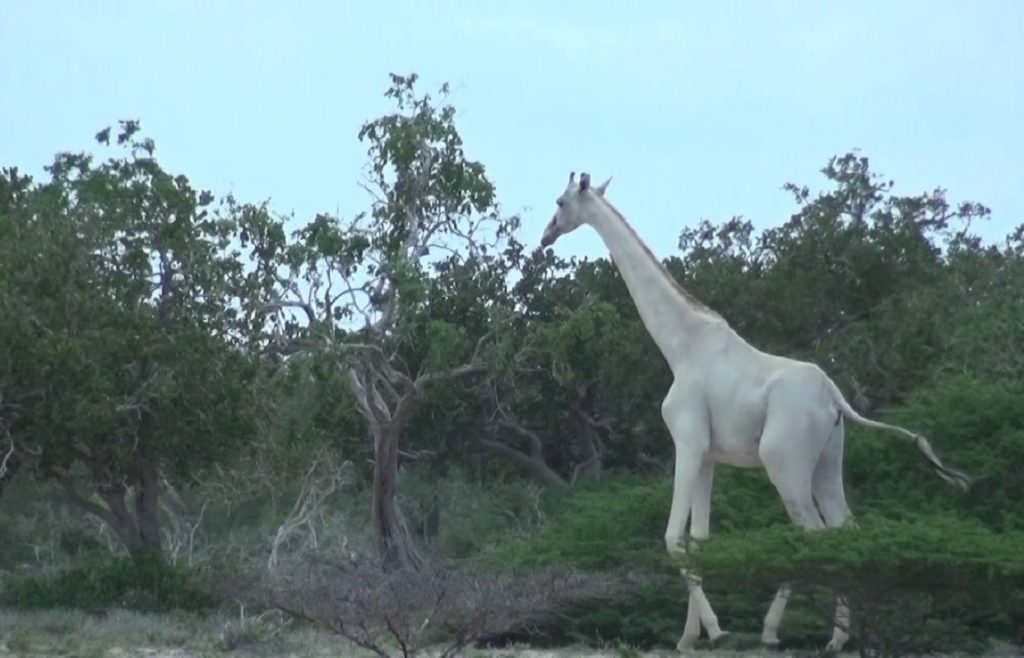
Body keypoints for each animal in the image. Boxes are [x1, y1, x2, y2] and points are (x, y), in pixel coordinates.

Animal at [539, 171, 970, 652]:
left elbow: (673, 538)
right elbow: (700, 540)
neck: (680, 347)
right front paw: (690, 636)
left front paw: (715, 630)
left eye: (559, 202)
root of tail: (833, 396)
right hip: (827, 464)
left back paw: (775, 631)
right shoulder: (708, 456)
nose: (545, 237)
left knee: (813, 537)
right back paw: (839, 637)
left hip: (784, 464)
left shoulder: (687, 443)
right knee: (846, 530)